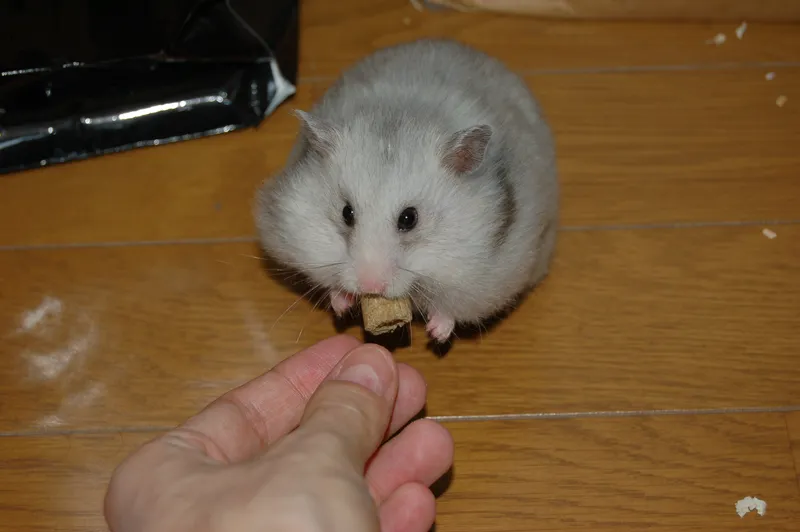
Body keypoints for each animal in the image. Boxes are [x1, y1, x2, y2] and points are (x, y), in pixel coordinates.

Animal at [254, 38, 559, 343]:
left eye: (409, 218)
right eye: (346, 213)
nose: (370, 286)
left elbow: (451, 308)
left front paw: (437, 333)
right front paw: (341, 303)